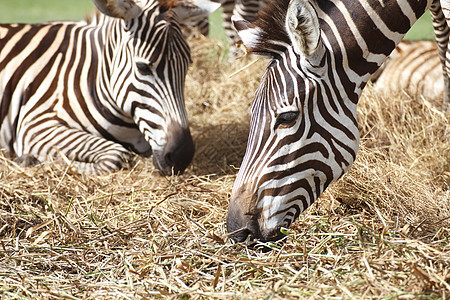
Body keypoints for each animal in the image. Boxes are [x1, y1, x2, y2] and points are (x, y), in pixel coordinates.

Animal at [0, 0, 221, 176]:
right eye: (143, 67)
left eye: (187, 66)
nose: (183, 156)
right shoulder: (35, 124)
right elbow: (116, 156)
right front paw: (31, 161)